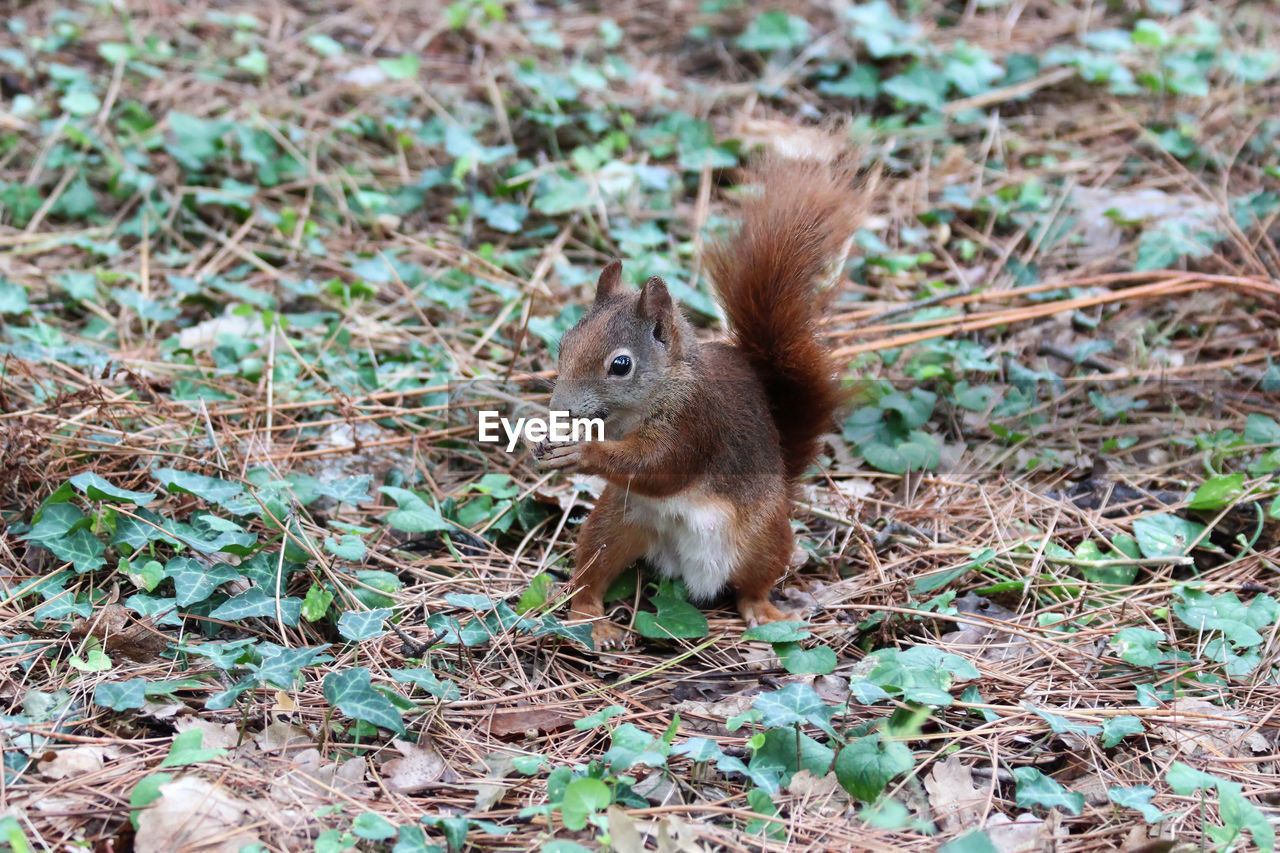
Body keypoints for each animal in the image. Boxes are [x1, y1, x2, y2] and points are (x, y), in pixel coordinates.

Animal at [535, 153, 865, 648]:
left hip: (764, 537)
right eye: (563, 345)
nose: (561, 408)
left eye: (620, 365)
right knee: (592, 570)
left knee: (753, 584)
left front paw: (584, 451)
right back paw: (591, 618)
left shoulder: (697, 422)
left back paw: (764, 613)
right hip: (616, 521)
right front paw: (545, 439)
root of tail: (685, 568)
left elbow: (662, 465)